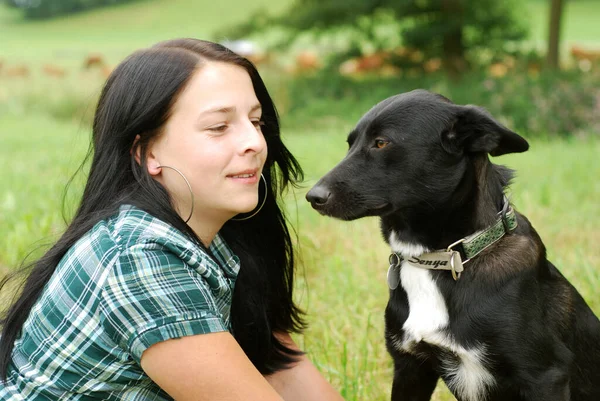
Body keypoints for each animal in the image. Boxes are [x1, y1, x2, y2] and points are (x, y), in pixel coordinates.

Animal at [308, 90, 596, 400]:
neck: (444, 258)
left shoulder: (545, 375)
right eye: (350, 144)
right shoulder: (410, 367)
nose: (313, 197)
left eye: (381, 142)